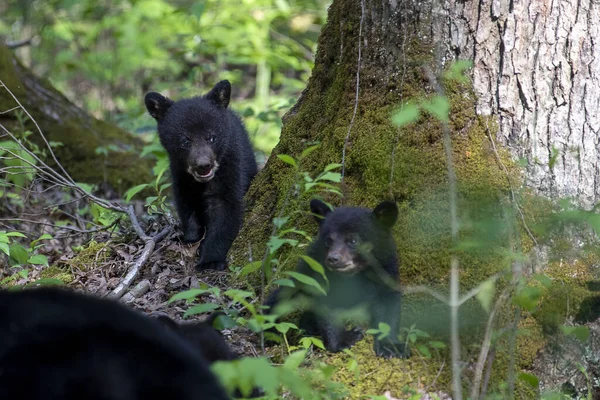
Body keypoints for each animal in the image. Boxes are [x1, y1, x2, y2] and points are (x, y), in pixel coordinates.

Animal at [146, 79, 258, 270]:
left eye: (211, 137)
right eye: (185, 141)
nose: (203, 165)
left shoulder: (231, 168)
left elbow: (226, 210)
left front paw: (210, 260)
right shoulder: (180, 174)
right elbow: (186, 205)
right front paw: (190, 239)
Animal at [268, 200, 408, 360]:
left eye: (353, 240)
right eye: (329, 240)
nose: (333, 259)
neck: (355, 275)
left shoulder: (386, 271)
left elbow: (388, 304)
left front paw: (391, 346)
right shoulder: (323, 276)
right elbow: (328, 305)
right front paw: (344, 340)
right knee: (281, 298)